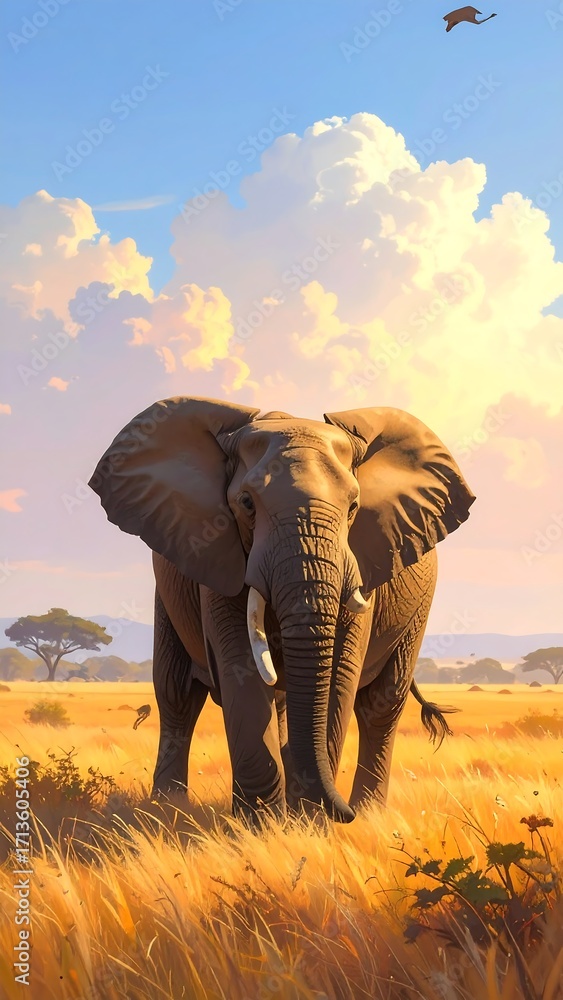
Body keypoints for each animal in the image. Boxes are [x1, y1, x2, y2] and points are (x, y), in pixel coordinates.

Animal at [88, 396, 475, 824]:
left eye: (354, 507)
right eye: (246, 504)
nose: (343, 815)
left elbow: (340, 675)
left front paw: (309, 824)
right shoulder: (218, 552)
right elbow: (240, 666)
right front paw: (259, 826)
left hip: (418, 611)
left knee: (381, 703)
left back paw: (368, 813)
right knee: (178, 692)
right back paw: (168, 808)